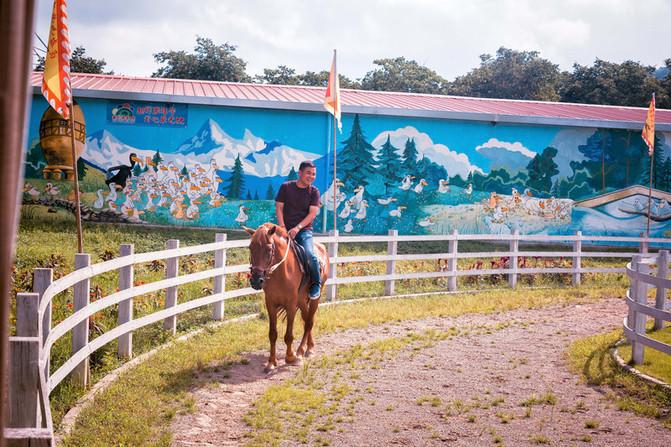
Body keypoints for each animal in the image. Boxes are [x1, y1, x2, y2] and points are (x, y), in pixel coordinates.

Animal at [247, 224, 330, 374]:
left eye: (268, 249)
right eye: (250, 248)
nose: (256, 280)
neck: (281, 271)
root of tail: (321, 247)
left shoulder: (291, 304)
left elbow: (288, 335)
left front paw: (291, 357)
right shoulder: (271, 303)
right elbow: (272, 334)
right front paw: (271, 363)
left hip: (315, 297)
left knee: (309, 322)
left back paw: (301, 351)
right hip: (301, 300)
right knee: (306, 318)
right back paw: (309, 347)